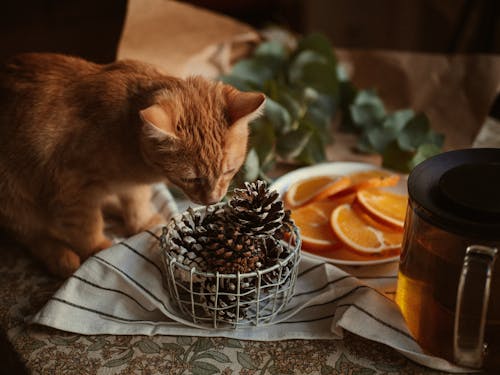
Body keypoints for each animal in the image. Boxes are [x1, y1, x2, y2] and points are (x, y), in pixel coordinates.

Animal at [0, 51, 266, 278]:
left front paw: (141, 222)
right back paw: (61, 258)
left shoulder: (131, 185)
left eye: (228, 171)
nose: (212, 199)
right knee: (34, 236)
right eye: (191, 178)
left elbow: (136, 202)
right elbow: (87, 226)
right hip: (16, 199)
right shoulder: (71, 189)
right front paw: (98, 249)